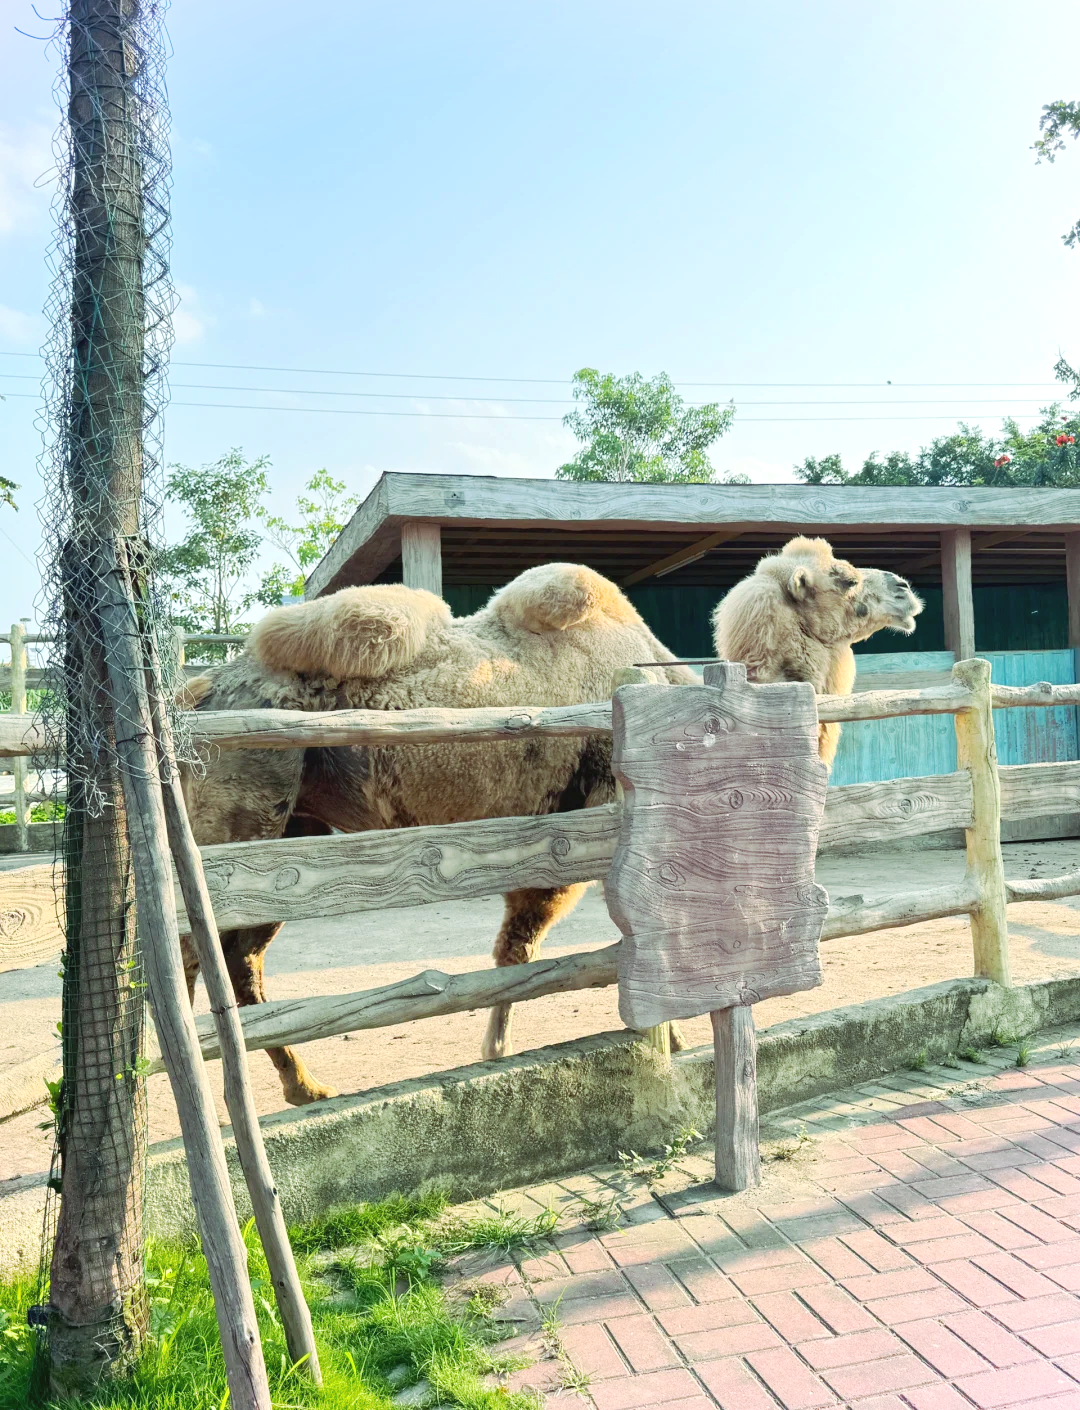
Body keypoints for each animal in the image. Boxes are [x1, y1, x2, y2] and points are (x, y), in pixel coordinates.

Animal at [181, 561, 699, 1099]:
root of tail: (202, 694)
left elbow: (518, 949)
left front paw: (497, 1049)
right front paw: (672, 1038)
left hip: (291, 835)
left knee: (241, 957)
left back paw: (303, 1086)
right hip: (242, 824)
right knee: (195, 952)